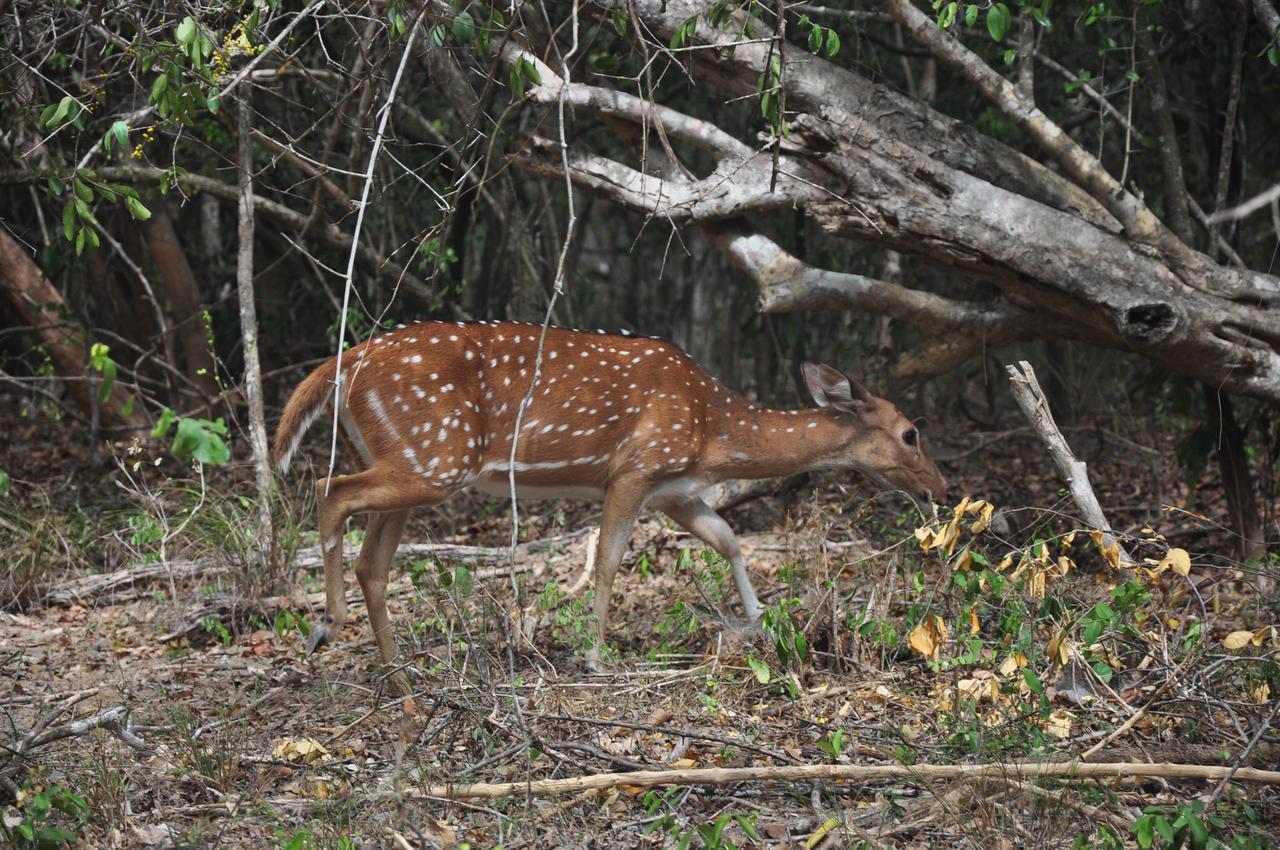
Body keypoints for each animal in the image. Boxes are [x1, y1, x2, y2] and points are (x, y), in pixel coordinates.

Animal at [272, 318, 952, 665]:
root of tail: (341, 365)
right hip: (435, 456)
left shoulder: (675, 489)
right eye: (911, 433)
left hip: (415, 461)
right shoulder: (635, 467)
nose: (942, 487)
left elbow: (729, 539)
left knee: (373, 560)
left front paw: (758, 624)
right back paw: (325, 625)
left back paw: (398, 669)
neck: (714, 427)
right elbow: (607, 559)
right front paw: (596, 655)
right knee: (329, 489)